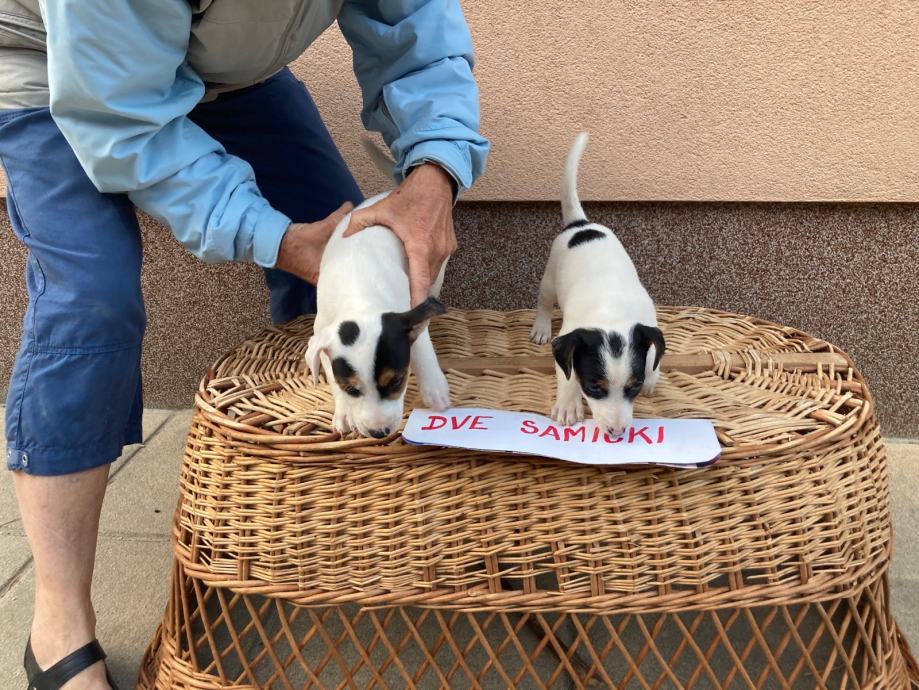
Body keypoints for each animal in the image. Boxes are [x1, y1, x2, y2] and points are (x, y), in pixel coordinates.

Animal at [305, 140, 451, 439]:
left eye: (396, 381)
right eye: (352, 388)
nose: (380, 433)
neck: (359, 293)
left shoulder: (409, 305)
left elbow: (421, 347)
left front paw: (435, 389)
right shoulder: (322, 331)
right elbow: (331, 376)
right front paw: (343, 412)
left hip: (434, 273)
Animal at [530, 132, 665, 435]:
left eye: (634, 386)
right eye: (594, 387)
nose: (617, 432)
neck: (611, 310)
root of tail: (581, 224)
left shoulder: (648, 319)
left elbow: (654, 352)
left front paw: (651, 375)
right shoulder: (569, 336)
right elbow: (568, 375)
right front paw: (568, 406)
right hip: (549, 279)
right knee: (544, 304)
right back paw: (541, 328)